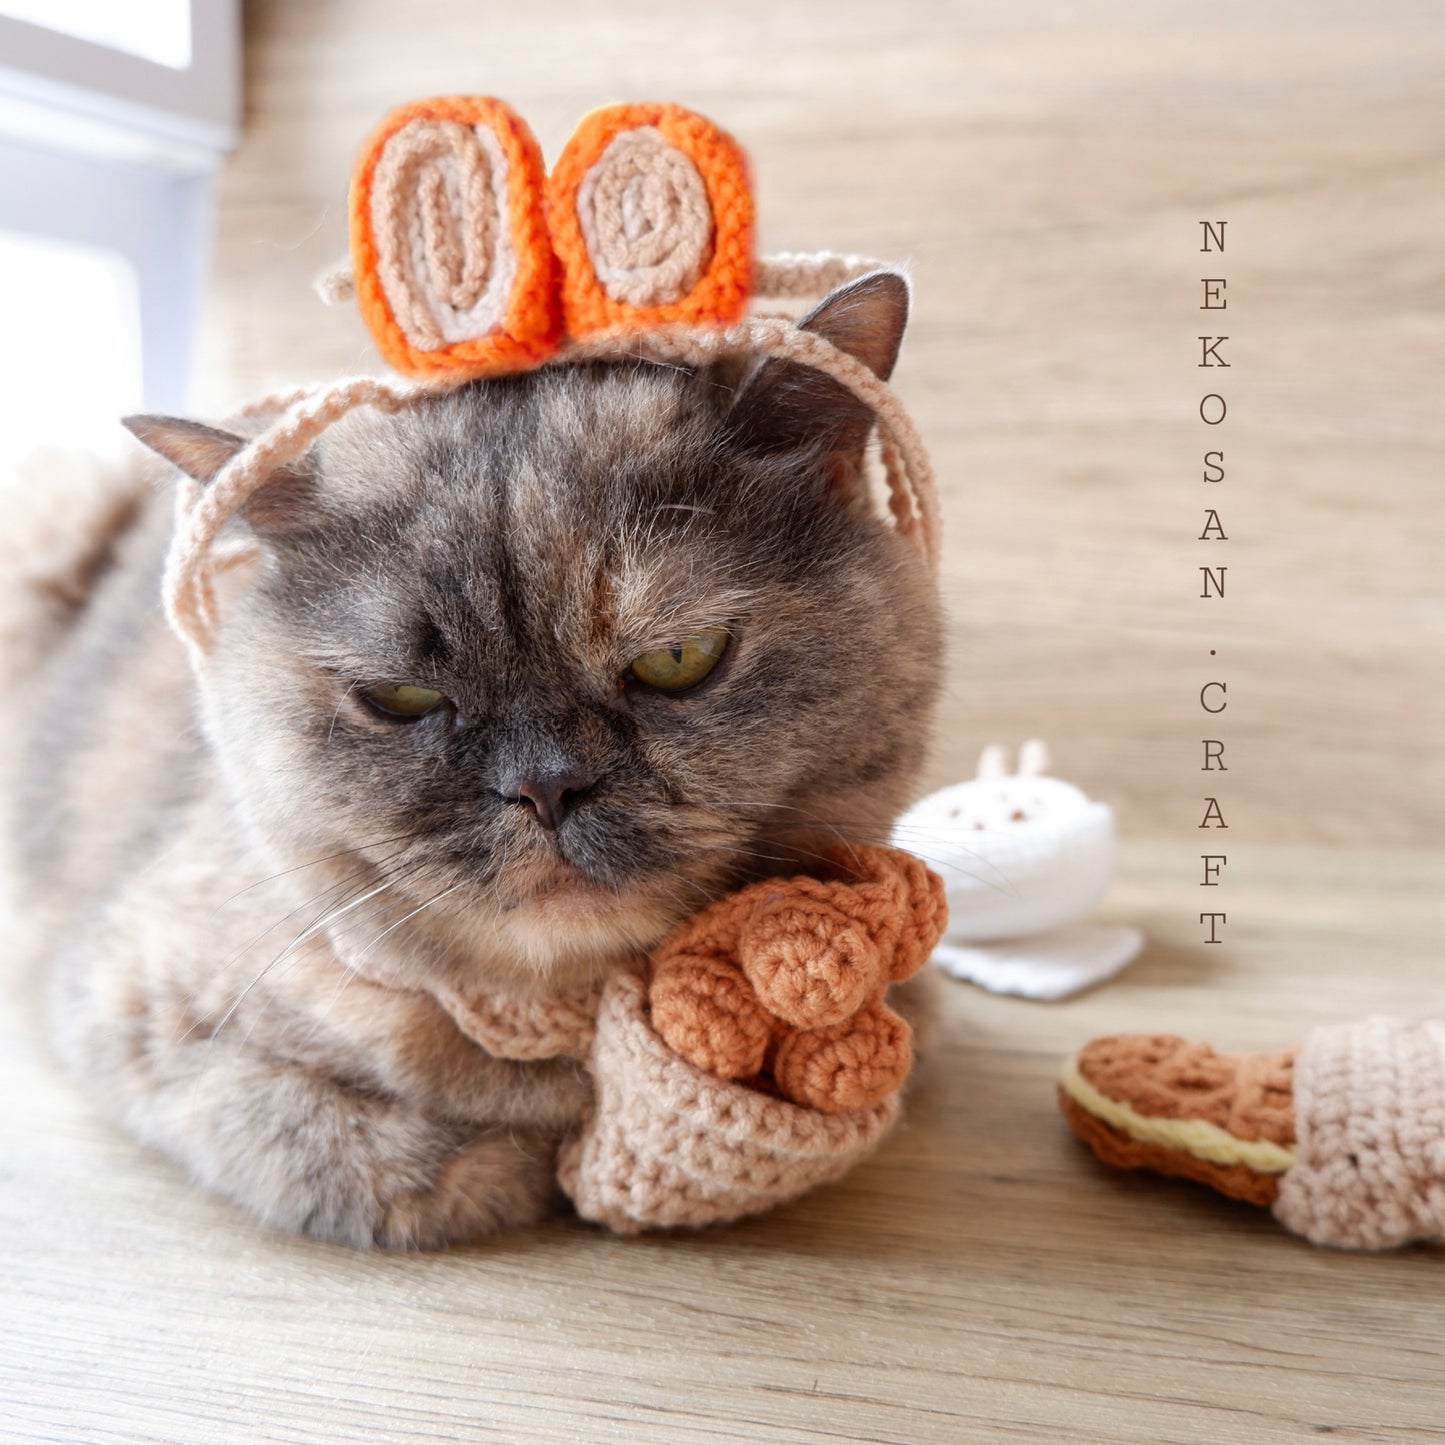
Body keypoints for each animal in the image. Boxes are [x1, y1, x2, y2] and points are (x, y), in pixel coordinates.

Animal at [0, 268, 942, 1242]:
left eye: (679, 659)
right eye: (401, 697)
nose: (546, 786)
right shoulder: (131, 1007)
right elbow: (356, 1154)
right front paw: (514, 1162)